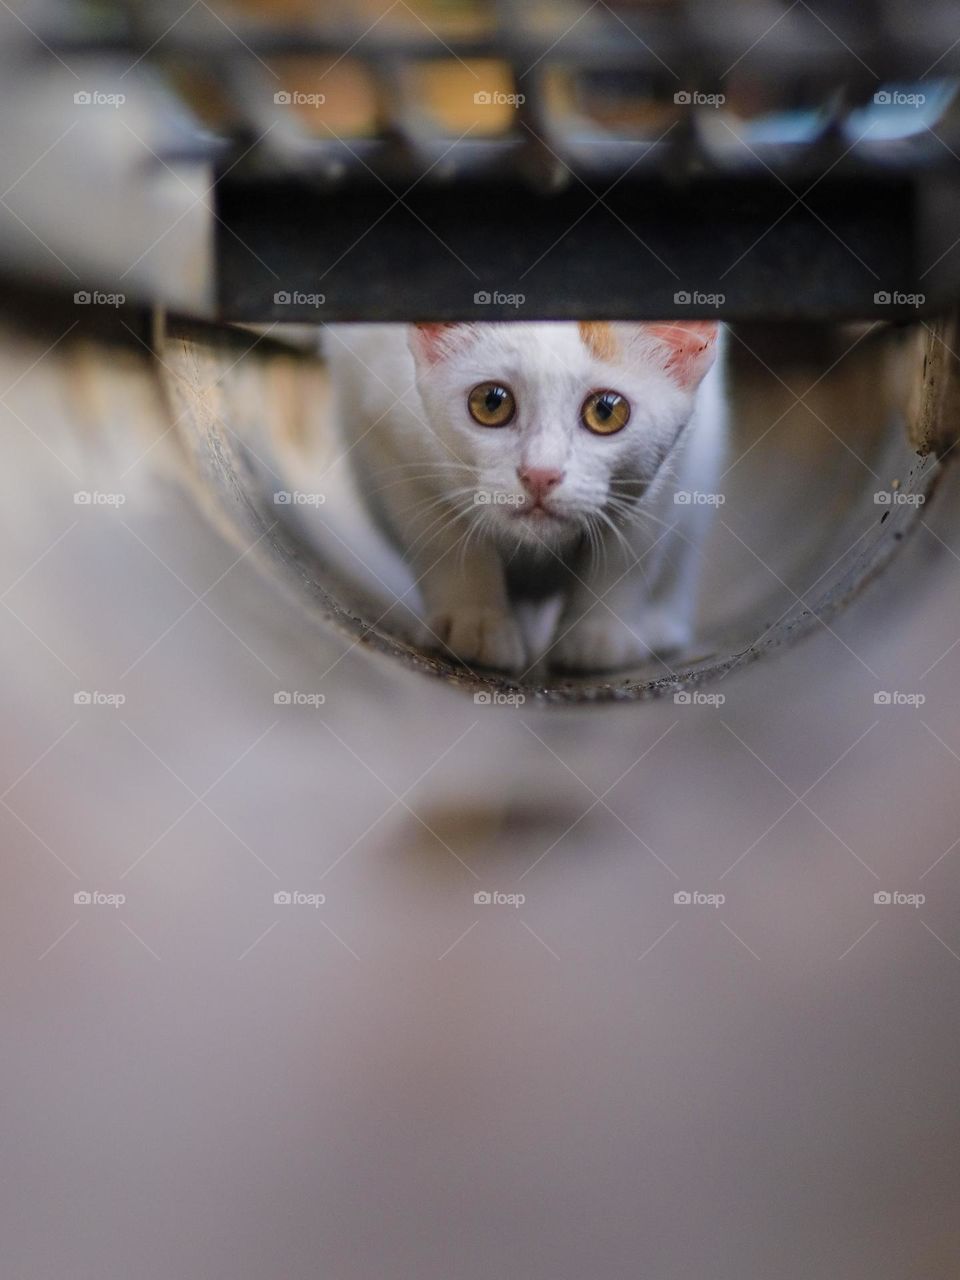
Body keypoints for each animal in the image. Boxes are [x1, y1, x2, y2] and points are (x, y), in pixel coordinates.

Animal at [327, 317, 727, 670]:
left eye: (606, 411)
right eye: (491, 403)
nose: (540, 474)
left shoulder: (676, 462)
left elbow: (629, 554)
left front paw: (599, 636)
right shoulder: (382, 425)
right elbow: (444, 539)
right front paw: (474, 621)